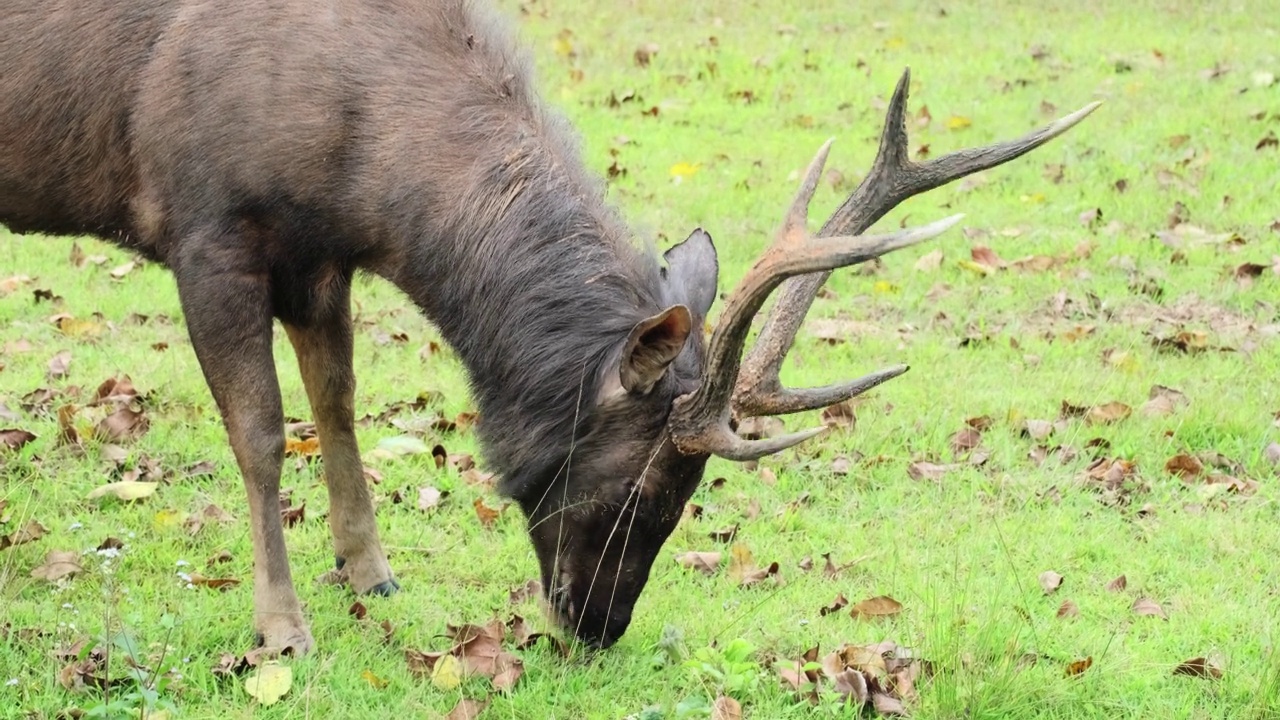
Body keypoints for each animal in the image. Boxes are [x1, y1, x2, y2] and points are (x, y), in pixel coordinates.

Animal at [0, 0, 1100, 650]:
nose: (597, 626)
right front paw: (282, 629)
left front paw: (371, 574)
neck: (366, 171)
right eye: (636, 487)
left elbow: (340, 404)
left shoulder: (319, 254)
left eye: (689, 501)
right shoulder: (208, 226)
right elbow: (264, 433)